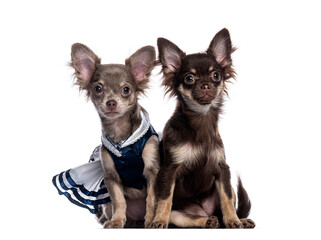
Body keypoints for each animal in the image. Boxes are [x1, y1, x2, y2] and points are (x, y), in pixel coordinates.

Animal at [71, 43, 159, 229]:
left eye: (126, 89)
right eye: (98, 89)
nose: (111, 102)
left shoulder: (153, 171)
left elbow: (151, 198)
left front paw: (151, 220)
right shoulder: (111, 176)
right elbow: (119, 200)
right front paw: (117, 221)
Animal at [150, 28, 255, 229]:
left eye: (216, 76)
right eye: (189, 78)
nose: (206, 85)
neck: (201, 120)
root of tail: (204, 211)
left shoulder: (222, 170)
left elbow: (227, 199)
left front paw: (233, 220)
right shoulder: (168, 171)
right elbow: (165, 199)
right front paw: (158, 220)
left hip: (228, 187)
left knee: (225, 205)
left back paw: (238, 220)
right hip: (179, 214)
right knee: (185, 216)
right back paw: (208, 221)